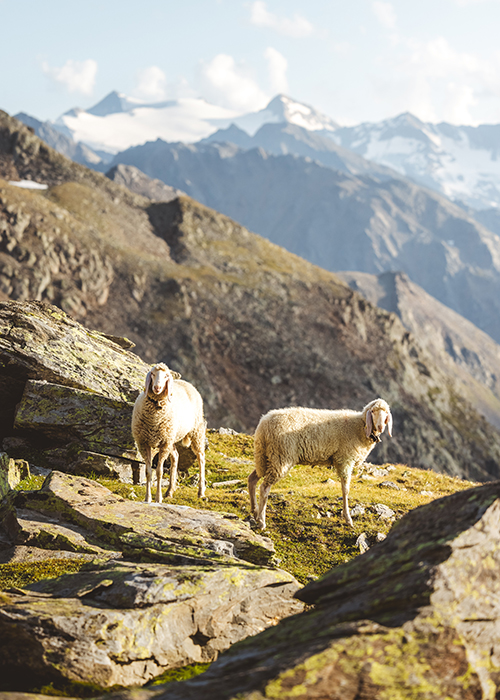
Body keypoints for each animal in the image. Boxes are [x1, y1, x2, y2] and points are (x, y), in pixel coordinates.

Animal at [131, 360, 207, 504]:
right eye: (153, 374)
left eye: (166, 376)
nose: (157, 387)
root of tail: (186, 382)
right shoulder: (144, 443)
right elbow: (148, 472)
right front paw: (148, 498)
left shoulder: (163, 444)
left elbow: (159, 472)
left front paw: (158, 498)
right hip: (171, 436)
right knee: (176, 456)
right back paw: (170, 491)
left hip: (196, 431)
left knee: (201, 458)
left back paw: (201, 492)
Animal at [248, 396, 392, 528]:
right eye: (373, 411)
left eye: (386, 413)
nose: (380, 427)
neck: (359, 426)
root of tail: (263, 424)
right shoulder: (345, 460)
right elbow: (345, 490)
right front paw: (348, 519)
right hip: (281, 457)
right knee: (264, 488)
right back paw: (261, 521)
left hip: (265, 457)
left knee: (252, 479)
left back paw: (255, 512)